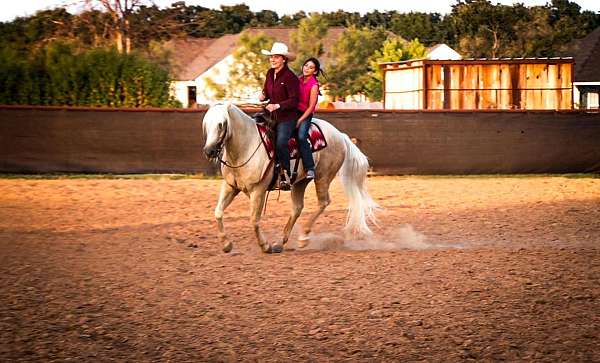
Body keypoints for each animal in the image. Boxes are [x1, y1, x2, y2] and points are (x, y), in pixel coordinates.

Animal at [204, 104, 378, 255]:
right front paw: (226, 244)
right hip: (300, 182)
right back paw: (280, 243)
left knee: (323, 202)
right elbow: (218, 212)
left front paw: (265, 246)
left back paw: (303, 237)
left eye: (221, 124)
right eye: (206, 124)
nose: (209, 151)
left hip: (323, 177)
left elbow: (253, 220)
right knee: (297, 208)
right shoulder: (230, 187)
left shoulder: (258, 190)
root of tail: (340, 135)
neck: (247, 145)